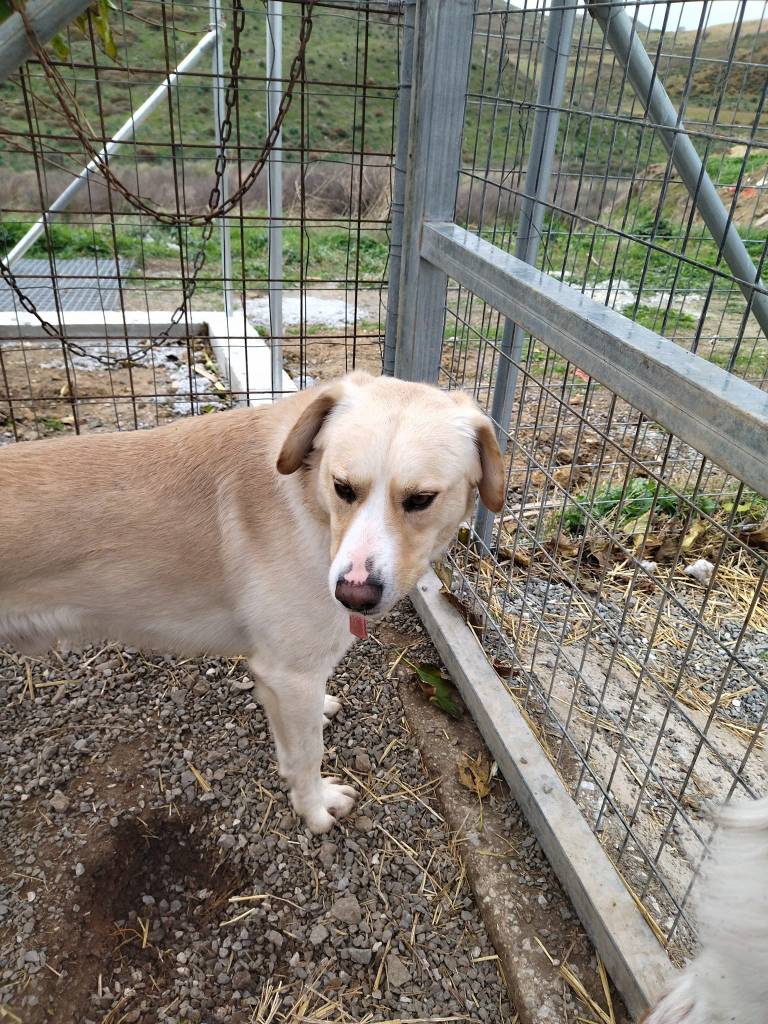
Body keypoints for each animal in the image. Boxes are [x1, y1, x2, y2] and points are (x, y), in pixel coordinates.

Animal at [0, 371, 504, 833]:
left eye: (420, 499)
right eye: (343, 487)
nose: (351, 595)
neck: (309, 502)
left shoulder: (281, 677)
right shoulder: (290, 674)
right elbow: (306, 756)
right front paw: (315, 808)